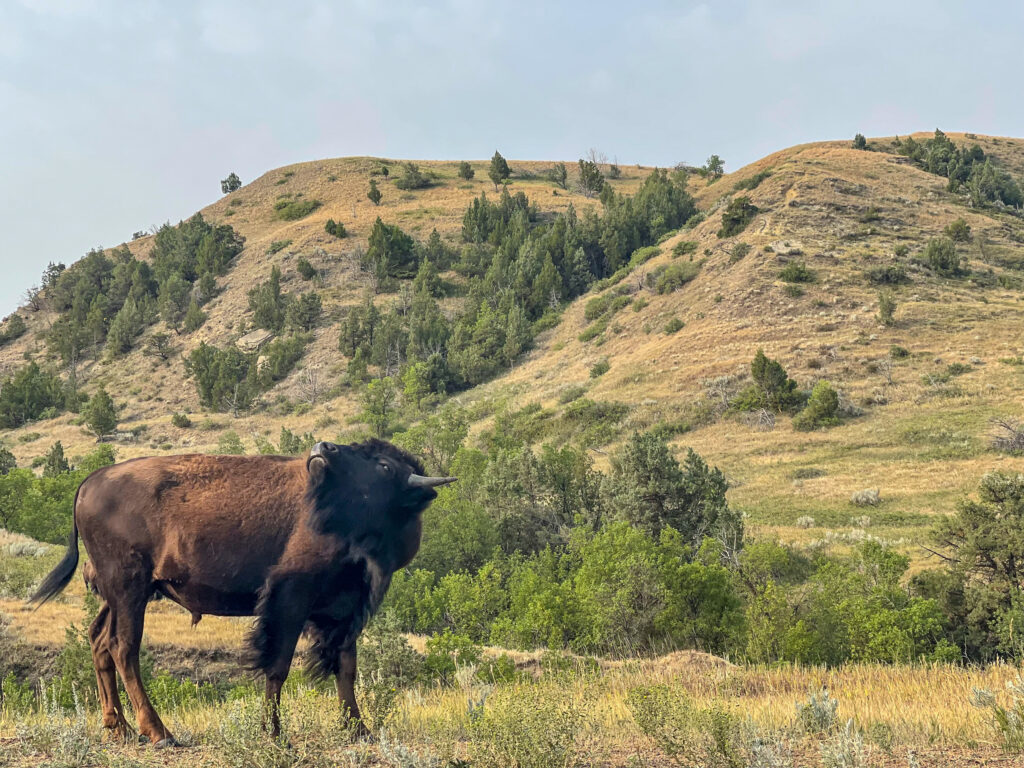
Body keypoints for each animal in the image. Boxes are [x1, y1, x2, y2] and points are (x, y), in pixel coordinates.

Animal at [29, 442, 454, 749]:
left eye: (384, 466)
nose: (324, 447)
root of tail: (90, 481)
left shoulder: (343, 612)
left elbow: (345, 668)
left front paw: (358, 730)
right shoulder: (290, 601)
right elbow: (278, 667)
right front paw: (273, 732)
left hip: (118, 596)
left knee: (99, 640)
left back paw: (119, 729)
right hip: (129, 588)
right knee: (123, 647)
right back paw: (160, 733)